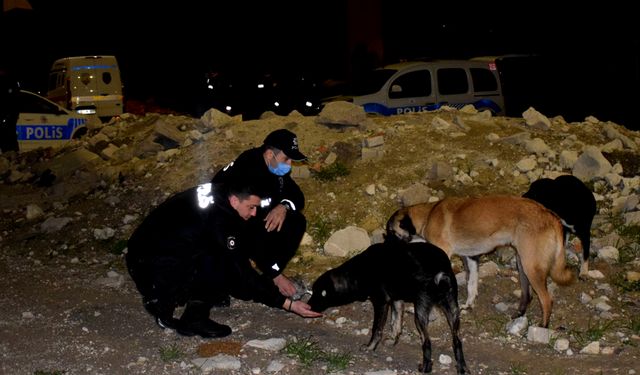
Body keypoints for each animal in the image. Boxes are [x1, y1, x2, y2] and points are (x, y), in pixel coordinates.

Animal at [308, 239, 468, 374]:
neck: (358, 271)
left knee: (427, 342)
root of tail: (440, 272)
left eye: (317, 293)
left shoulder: (381, 302)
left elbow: (377, 329)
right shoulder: (396, 300)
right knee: (457, 341)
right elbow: (395, 324)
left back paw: (425, 368)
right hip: (452, 311)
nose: (308, 306)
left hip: (420, 312)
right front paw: (393, 341)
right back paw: (462, 368)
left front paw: (370, 347)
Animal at [388, 195, 576, 328]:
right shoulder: (471, 258)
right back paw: (519, 315)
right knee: (527, 295)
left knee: (546, 300)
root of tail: (551, 215)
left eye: (391, 232)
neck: (428, 214)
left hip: (531, 267)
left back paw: (543, 326)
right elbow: (472, 286)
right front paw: (468, 305)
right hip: (522, 263)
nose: (386, 248)